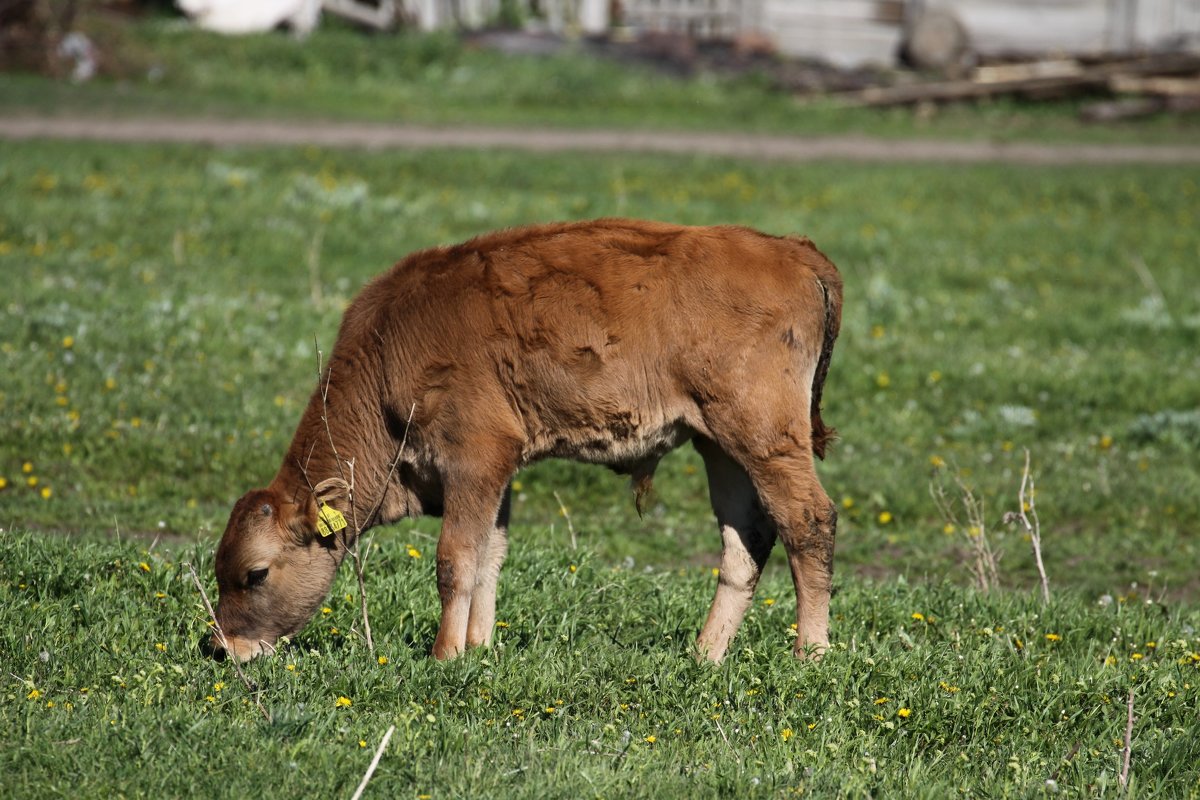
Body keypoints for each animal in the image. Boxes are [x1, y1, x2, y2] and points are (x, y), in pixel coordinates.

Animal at [211, 217, 840, 662]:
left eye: (255, 574)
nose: (219, 647)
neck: (387, 353)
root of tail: (793, 250)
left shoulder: (473, 458)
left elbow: (455, 559)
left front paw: (443, 656)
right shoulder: (497, 472)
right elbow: (490, 555)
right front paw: (479, 648)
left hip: (763, 436)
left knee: (808, 521)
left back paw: (809, 654)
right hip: (719, 445)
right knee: (746, 541)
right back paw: (704, 657)